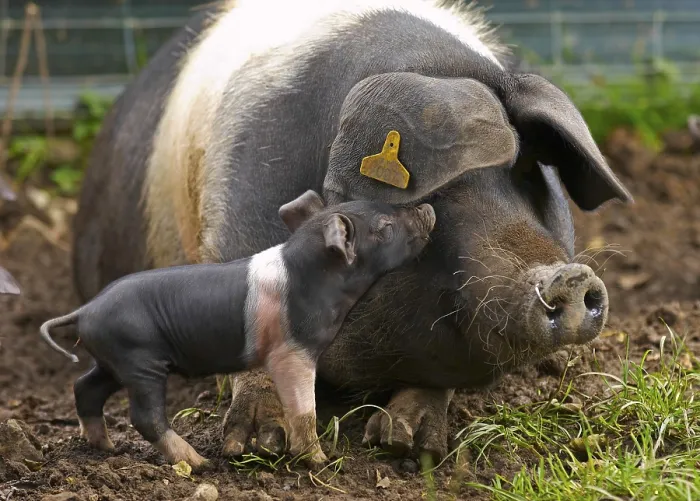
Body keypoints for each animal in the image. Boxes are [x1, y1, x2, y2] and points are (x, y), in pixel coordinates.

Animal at [41, 191, 436, 469]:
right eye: (384, 226)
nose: (428, 208)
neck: (318, 281)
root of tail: (85, 309)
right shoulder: (293, 351)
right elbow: (304, 409)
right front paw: (320, 461)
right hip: (139, 360)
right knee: (144, 416)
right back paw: (198, 463)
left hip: (113, 360)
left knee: (85, 387)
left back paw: (106, 446)